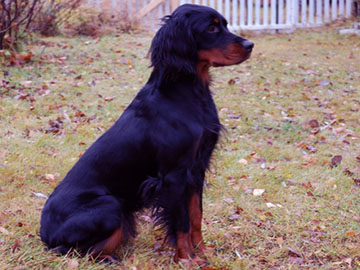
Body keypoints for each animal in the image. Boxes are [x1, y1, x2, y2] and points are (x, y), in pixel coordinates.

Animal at [40, 3, 253, 264]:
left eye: (224, 24)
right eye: (211, 28)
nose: (250, 45)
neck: (187, 93)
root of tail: (45, 234)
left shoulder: (196, 169)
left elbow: (196, 215)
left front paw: (203, 251)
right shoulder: (174, 175)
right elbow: (181, 222)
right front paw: (187, 259)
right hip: (111, 205)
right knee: (78, 251)